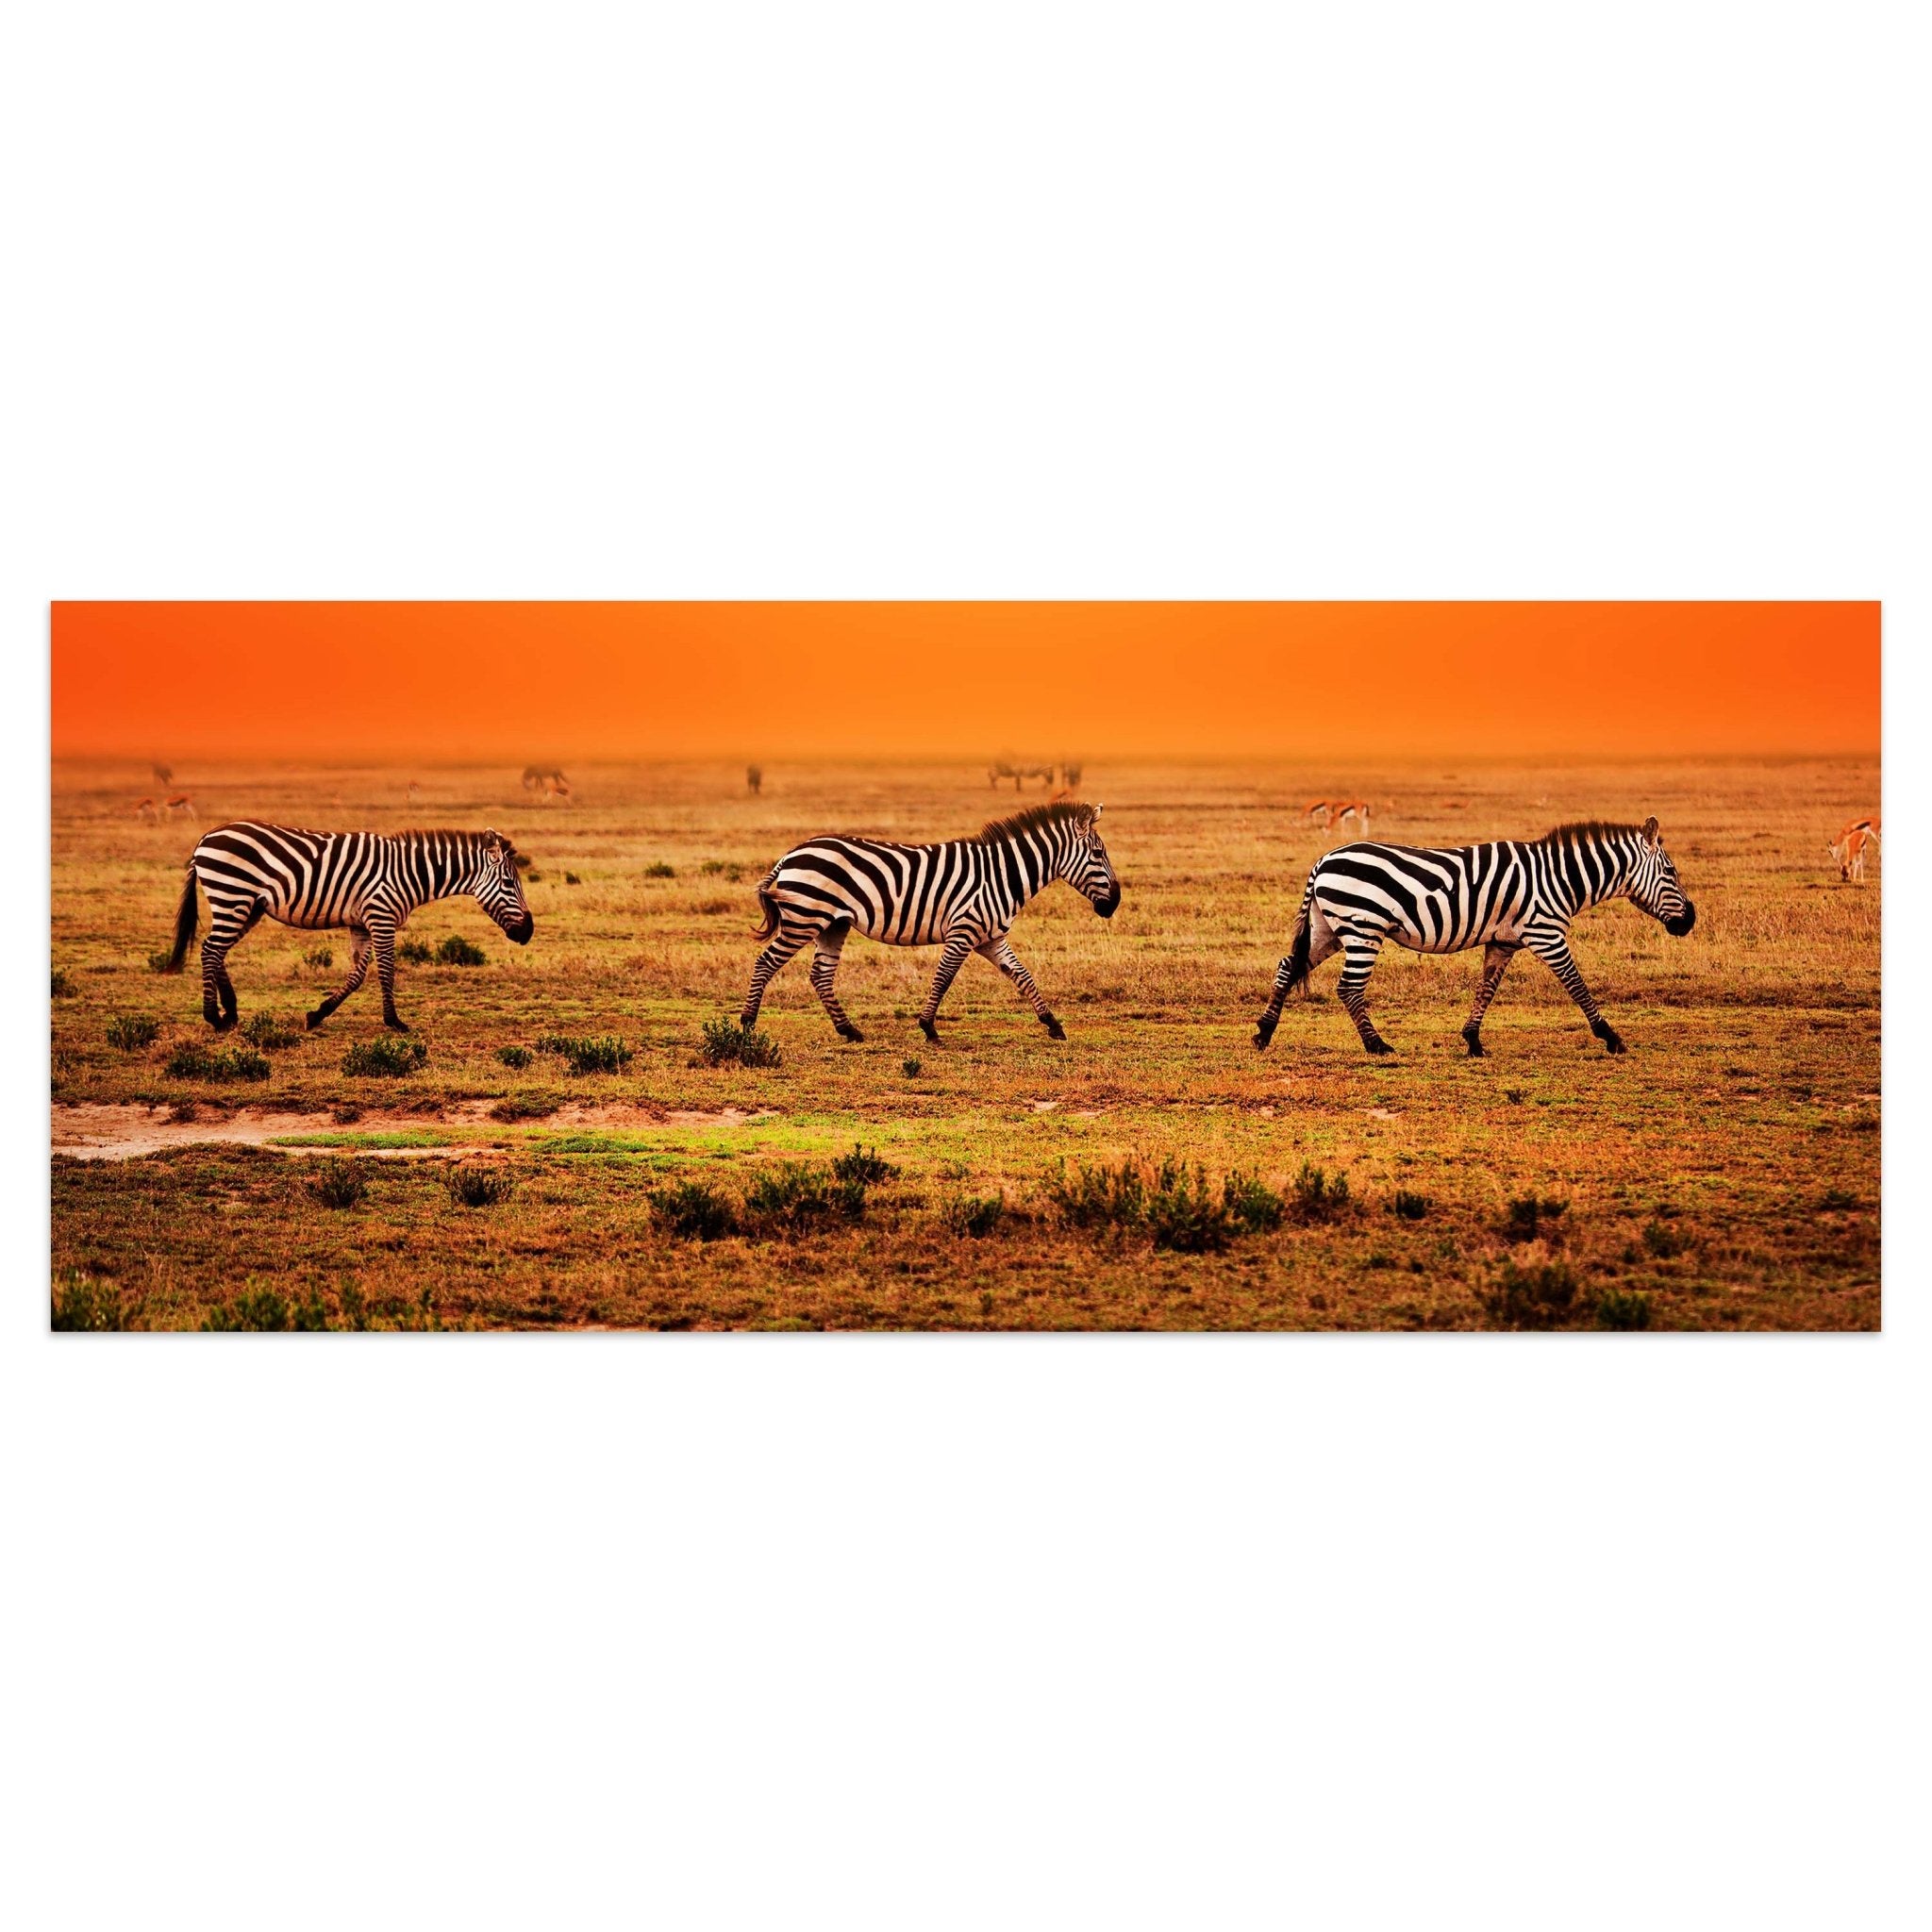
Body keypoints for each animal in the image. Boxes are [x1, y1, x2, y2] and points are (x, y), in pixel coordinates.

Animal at [163, 823, 534, 1032]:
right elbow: (386, 971)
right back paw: (214, 1017)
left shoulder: (361, 923)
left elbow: (356, 975)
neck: (408, 873)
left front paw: (317, 1014)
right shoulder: (381, 917)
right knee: (211, 949)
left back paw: (230, 1012)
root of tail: (205, 838)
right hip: (232, 894)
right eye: (508, 882)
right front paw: (395, 1022)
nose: (528, 932)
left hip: (247, 906)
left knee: (217, 950)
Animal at [739, 800, 1121, 1044]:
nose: (1115, 903)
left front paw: (1053, 1024)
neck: (1002, 875)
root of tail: (791, 853)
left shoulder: (991, 937)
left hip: (833, 923)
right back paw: (747, 1024)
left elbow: (1023, 976)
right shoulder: (963, 931)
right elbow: (944, 978)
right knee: (766, 963)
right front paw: (928, 1028)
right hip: (805, 918)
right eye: (1098, 854)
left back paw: (849, 1031)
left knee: (820, 975)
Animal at [1254, 817, 1695, 1058]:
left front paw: (1473, 1041)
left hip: (1328, 928)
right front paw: (1611, 1037)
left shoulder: (1503, 941)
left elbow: (1486, 989)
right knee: (1348, 987)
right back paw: (1377, 1045)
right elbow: (1577, 986)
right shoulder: (1546, 933)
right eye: (1671, 872)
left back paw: (1263, 1033)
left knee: (1288, 966)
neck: (1560, 878)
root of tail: (1324, 859)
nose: (1690, 921)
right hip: (1363, 927)